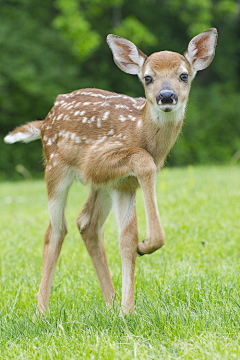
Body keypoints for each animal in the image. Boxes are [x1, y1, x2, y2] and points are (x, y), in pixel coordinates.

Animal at [3, 28, 218, 316]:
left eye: (184, 75)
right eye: (148, 77)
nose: (166, 96)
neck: (139, 131)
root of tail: (45, 121)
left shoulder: (123, 184)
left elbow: (127, 239)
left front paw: (128, 310)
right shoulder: (95, 161)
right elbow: (143, 160)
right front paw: (146, 248)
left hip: (101, 186)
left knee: (87, 224)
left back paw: (111, 302)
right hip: (55, 167)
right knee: (56, 230)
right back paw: (41, 311)